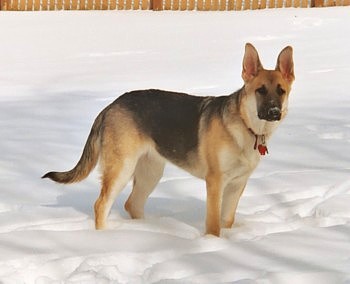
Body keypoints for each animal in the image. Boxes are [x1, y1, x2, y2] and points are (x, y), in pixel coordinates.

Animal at [44, 43, 296, 236]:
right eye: (260, 90)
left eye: (281, 91)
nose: (274, 112)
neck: (247, 127)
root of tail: (110, 106)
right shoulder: (215, 182)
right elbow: (214, 225)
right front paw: (214, 245)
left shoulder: (237, 184)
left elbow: (227, 220)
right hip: (122, 168)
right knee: (101, 205)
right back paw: (105, 239)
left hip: (151, 172)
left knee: (131, 204)